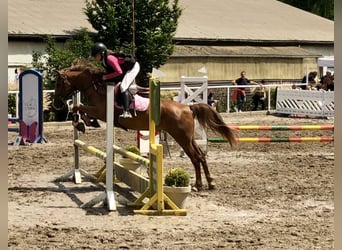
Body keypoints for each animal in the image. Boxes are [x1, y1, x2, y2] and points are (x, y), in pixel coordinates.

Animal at [53, 59, 236, 190]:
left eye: (58, 83)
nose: (56, 104)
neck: (96, 87)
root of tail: (187, 107)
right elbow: (78, 108)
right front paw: (84, 123)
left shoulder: (100, 111)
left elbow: (78, 107)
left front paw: (83, 123)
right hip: (188, 138)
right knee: (201, 156)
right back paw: (210, 183)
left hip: (182, 138)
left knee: (196, 158)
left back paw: (198, 185)